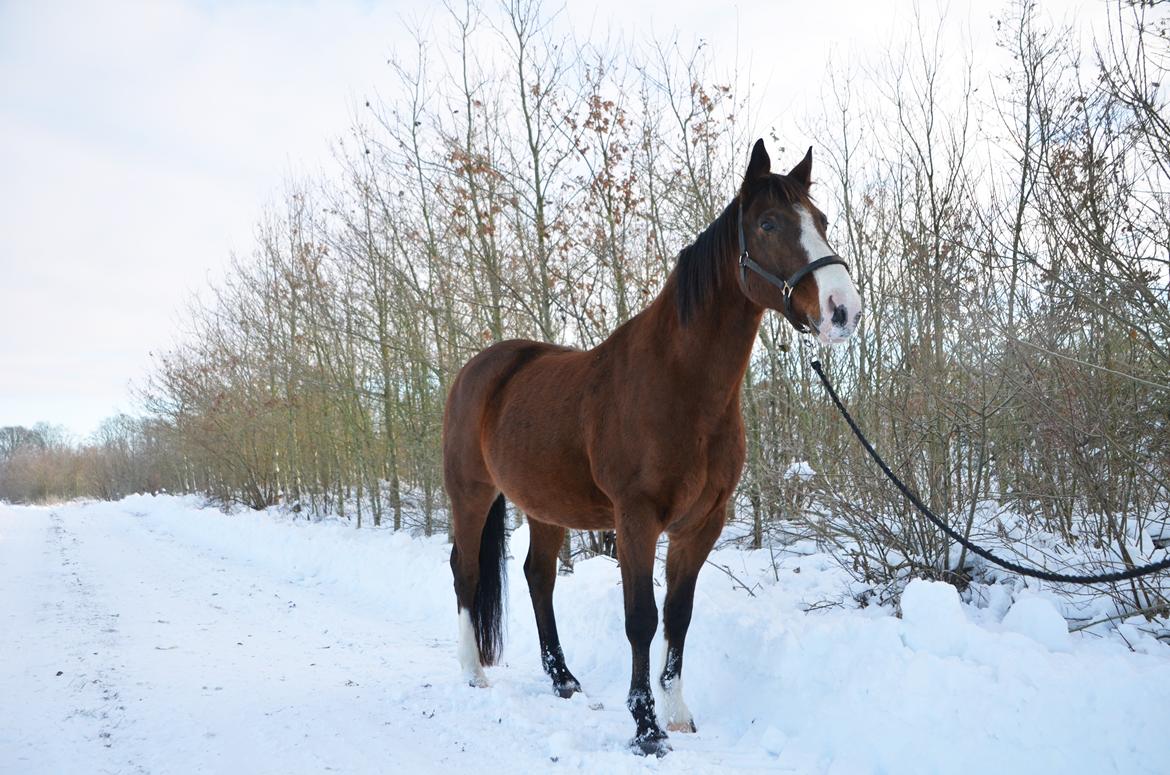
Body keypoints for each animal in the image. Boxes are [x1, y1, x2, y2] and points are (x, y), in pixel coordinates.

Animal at [439, 139, 861, 758]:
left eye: (823, 221)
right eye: (768, 223)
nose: (842, 310)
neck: (679, 386)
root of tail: (480, 369)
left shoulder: (701, 524)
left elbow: (677, 616)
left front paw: (678, 714)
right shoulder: (635, 519)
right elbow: (640, 618)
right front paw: (645, 728)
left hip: (546, 507)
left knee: (539, 577)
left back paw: (563, 679)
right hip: (471, 495)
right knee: (466, 571)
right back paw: (473, 673)